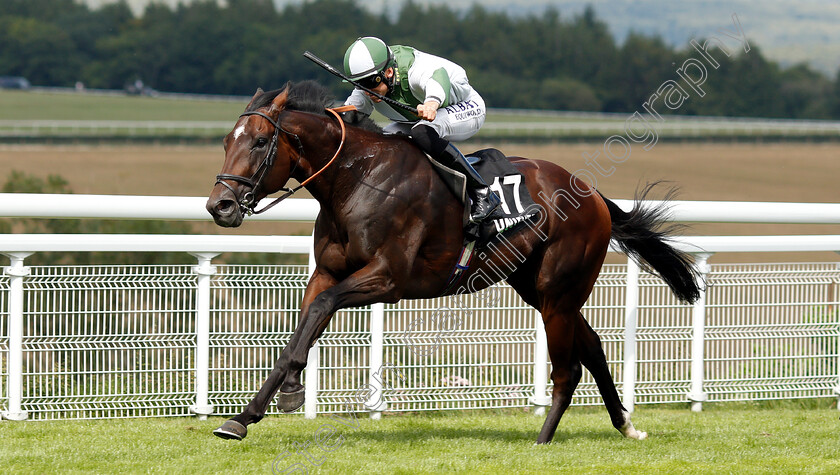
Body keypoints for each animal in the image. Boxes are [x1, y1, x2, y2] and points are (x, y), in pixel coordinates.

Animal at [207, 81, 700, 446]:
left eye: (260, 141)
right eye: (226, 141)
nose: (220, 206)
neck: (357, 177)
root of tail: (593, 194)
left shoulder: (387, 280)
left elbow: (322, 308)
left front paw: (286, 393)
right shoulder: (327, 272)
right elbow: (304, 324)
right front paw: (249, 413)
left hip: (558, 291)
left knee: (569, 368)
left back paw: (543, 439)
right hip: (537, 288)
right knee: (594, 347)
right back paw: (626, 425)